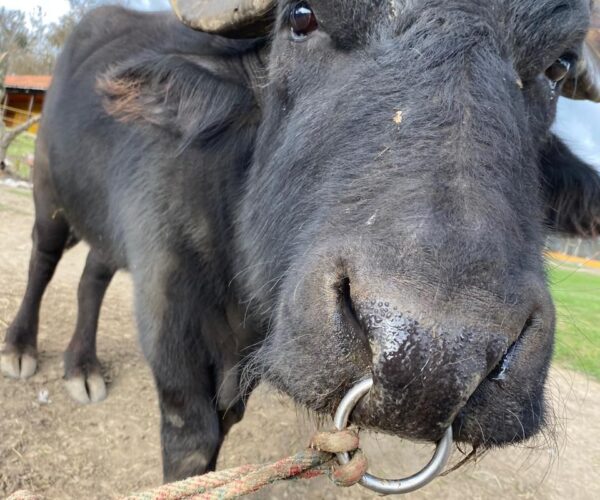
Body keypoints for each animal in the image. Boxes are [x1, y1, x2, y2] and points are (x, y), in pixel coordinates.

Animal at [3, 0, 600, 484]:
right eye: (302, 17)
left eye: (558, 65)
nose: (432, 359)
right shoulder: (171, 328)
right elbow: (193, 447)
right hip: (49, 194)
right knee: (44, 260)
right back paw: (22, 349)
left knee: (93, 275)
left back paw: (82, 367)